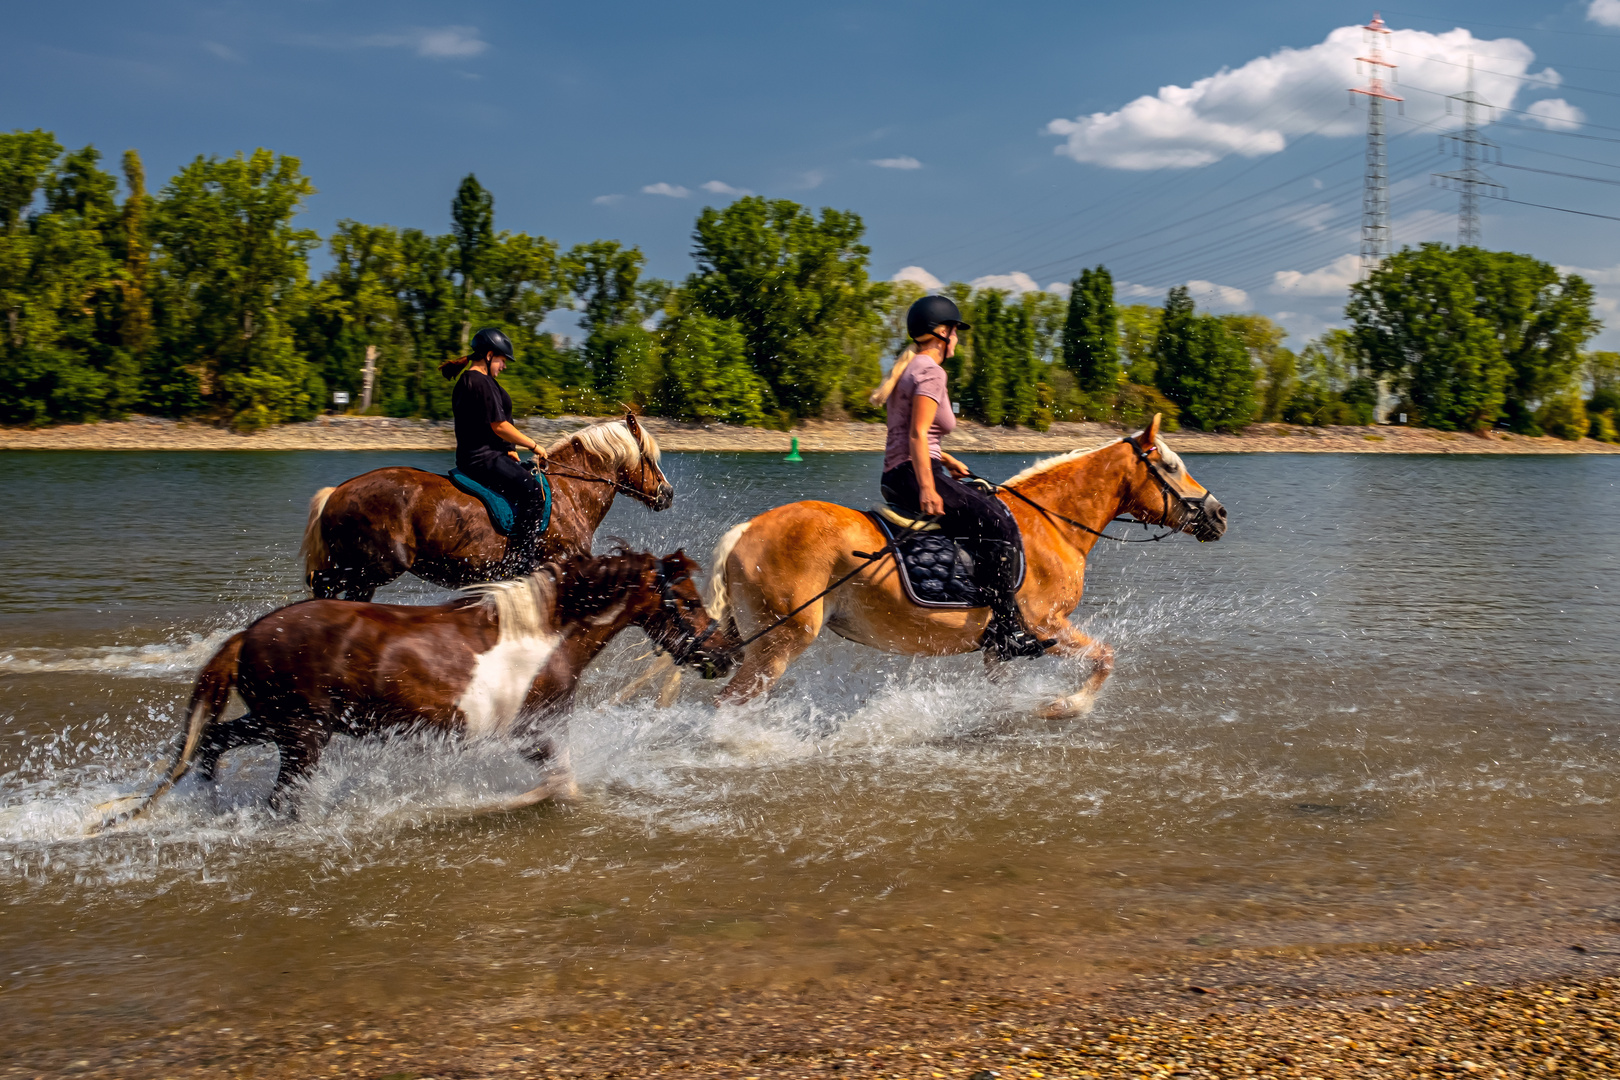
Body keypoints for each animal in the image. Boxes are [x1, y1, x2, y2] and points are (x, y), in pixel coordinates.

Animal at [123, 550, 732, 819]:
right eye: (690, 601)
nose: (725, 654)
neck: (545, 635)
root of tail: (248, 635)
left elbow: (563, 785)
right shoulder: (532, 734)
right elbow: (561, 787)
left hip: (277, 722)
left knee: (213, 742)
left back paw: (208, 801)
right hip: (301, 735)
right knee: (280, 801)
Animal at [302, 411, 670, 599]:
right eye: (649, 458)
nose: (667, 493)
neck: (571, 491)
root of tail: (336, 493)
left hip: (365, 572)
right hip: (375, 566)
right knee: (322, 583)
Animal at [706, 417, 1224, 722]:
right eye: (1171, 466)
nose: (1218, 514)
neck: (1051, 523)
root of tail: (746, 530)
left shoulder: (1001, 646)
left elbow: (1002, 692)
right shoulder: (1045, 625)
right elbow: (1106, 658)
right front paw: (1064, 706)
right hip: (779, 643)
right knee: (726, 703)